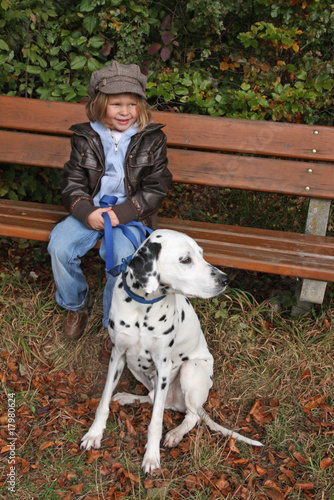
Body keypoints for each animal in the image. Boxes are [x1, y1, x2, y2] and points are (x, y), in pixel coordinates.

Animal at [81, 230, 264, 472]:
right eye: (185, 260)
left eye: (201, 254)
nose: (225, 280)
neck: (143, 306)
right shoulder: (117, 355)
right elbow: (103, 402)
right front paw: (94, 434)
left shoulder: (164, 366)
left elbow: (156, 421)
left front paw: (151, 456)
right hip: (135, 366)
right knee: (156, 399)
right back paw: (128, 397)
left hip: (190, 369)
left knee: (191, 416)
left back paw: (176, 433)